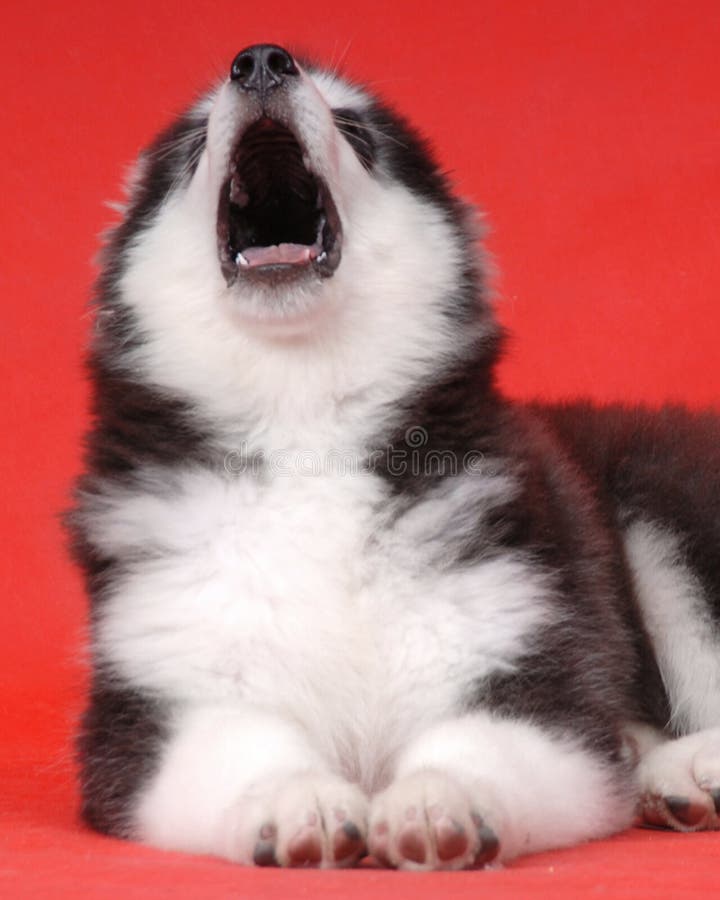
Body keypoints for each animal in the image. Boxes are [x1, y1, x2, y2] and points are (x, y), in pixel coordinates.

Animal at [70, 45, 720, 868]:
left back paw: (692, 766)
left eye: (357, 130)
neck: (305, 420)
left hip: (664, 497)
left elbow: (483, 745)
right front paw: (298, 801)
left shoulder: (528, 670)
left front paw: (438, 800)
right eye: (191, 147)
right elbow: (241, 748)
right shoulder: (160, 697)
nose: (261, 62)